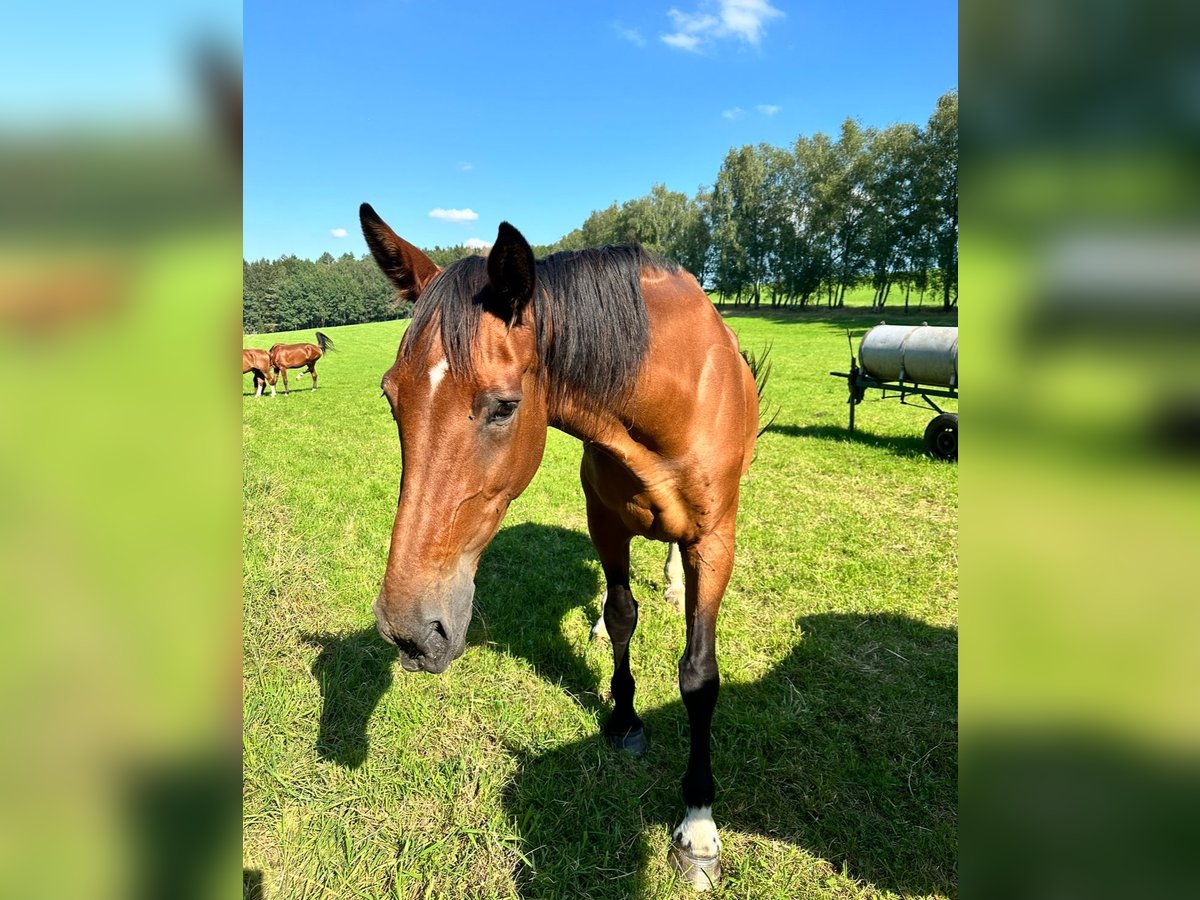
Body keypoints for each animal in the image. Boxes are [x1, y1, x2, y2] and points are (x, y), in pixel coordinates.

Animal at [360, 200, 763, 892]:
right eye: (392, 398)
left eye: (504, 406)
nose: (409, 632)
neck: (667, 394)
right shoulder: (605, 522)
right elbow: (623, 615)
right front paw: (624, 720)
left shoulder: (714, 542)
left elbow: (699, 674)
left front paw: (698, 824)